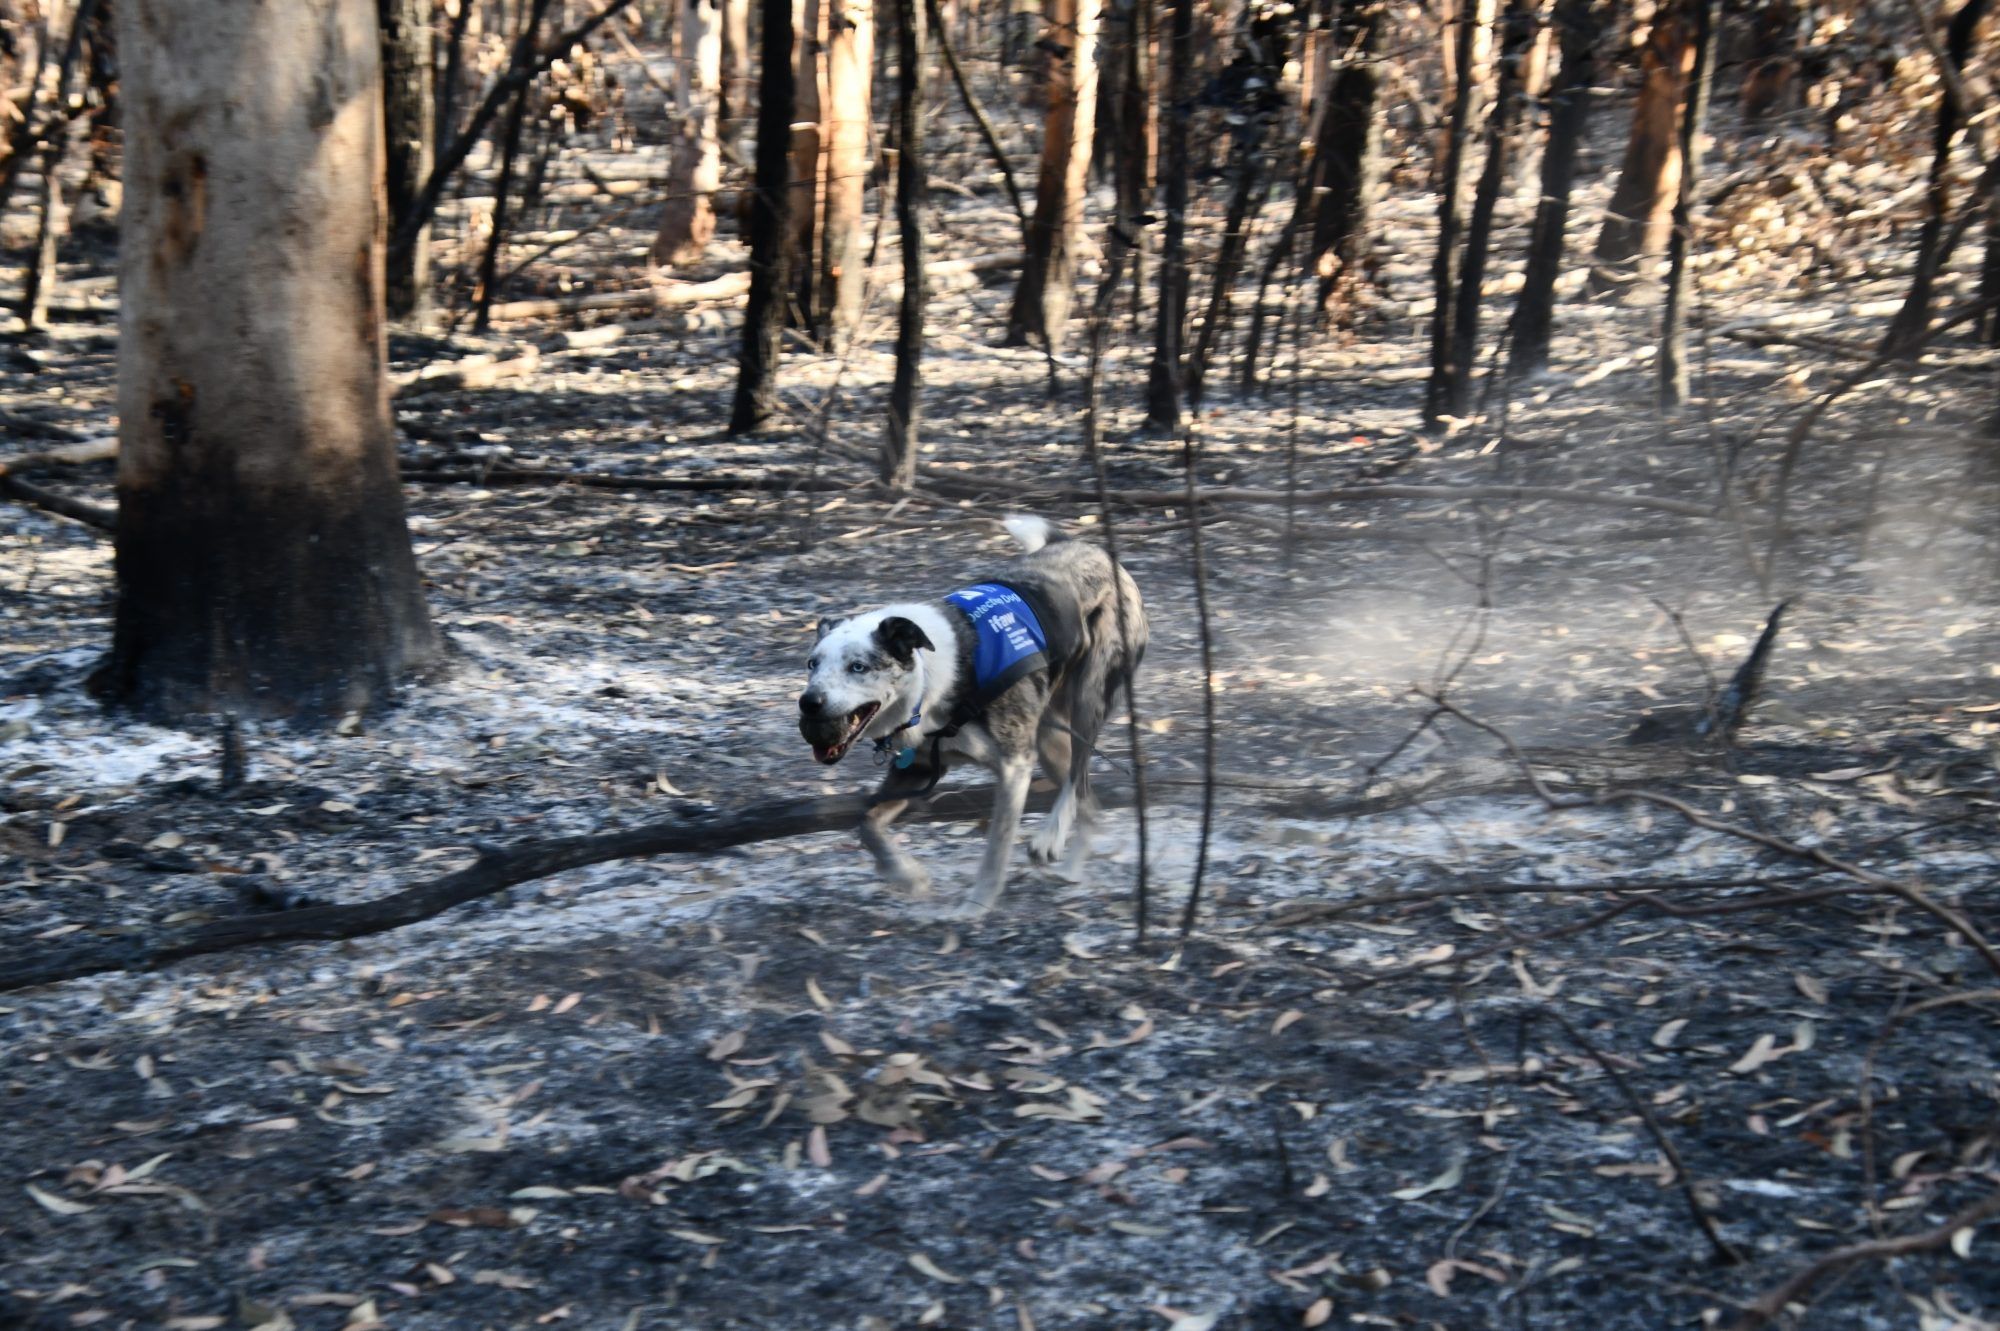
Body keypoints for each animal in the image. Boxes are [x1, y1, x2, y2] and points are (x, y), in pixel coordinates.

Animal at [792, 509, 1144, 911]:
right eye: (812, 664)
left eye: (858, 667)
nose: (809, 703)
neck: (931, 683)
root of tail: (1086, 548)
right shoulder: (919, 768)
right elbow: (867, 824)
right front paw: (907, 876)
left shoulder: (1014, 766)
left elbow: (997, 847)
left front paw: (976, 906)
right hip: (1049, 738)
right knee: (1091, 803)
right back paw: (1070, 869)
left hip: (1088, 699)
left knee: (1079, 777)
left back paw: (1050, 837)